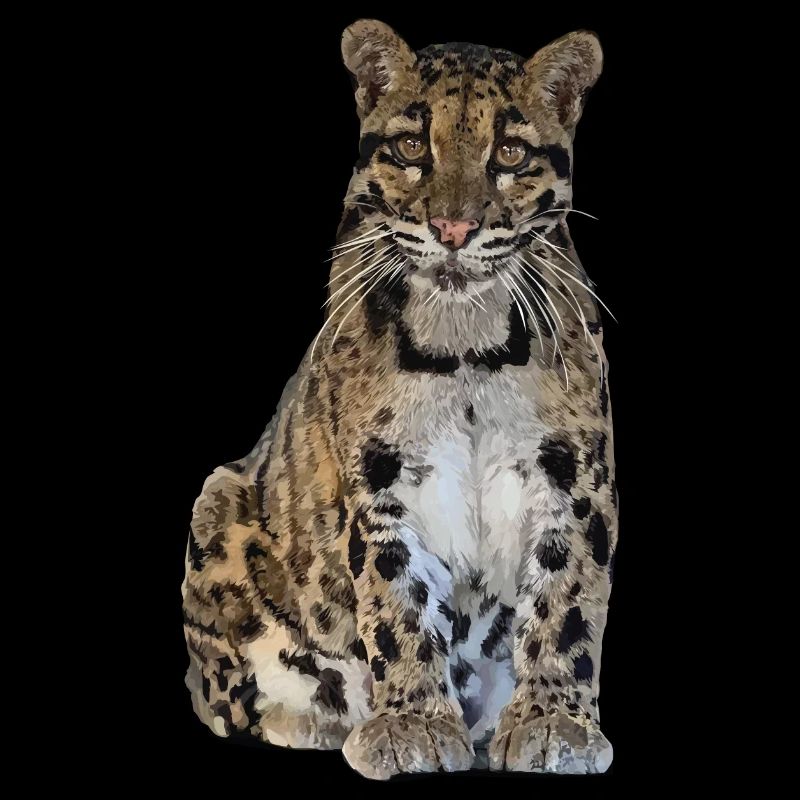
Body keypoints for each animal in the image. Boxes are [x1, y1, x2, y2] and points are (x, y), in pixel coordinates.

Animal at [182, 19, 617, 779]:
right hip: (217, 506)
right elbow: (397, 601)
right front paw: (412, 723)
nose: (453, 230)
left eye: (509, 152)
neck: (466, 343)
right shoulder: (379, 479)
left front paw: (552, 721)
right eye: (413, 146)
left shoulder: (574, 475)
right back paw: (319, 721)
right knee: (226, 696)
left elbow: (567, 600)